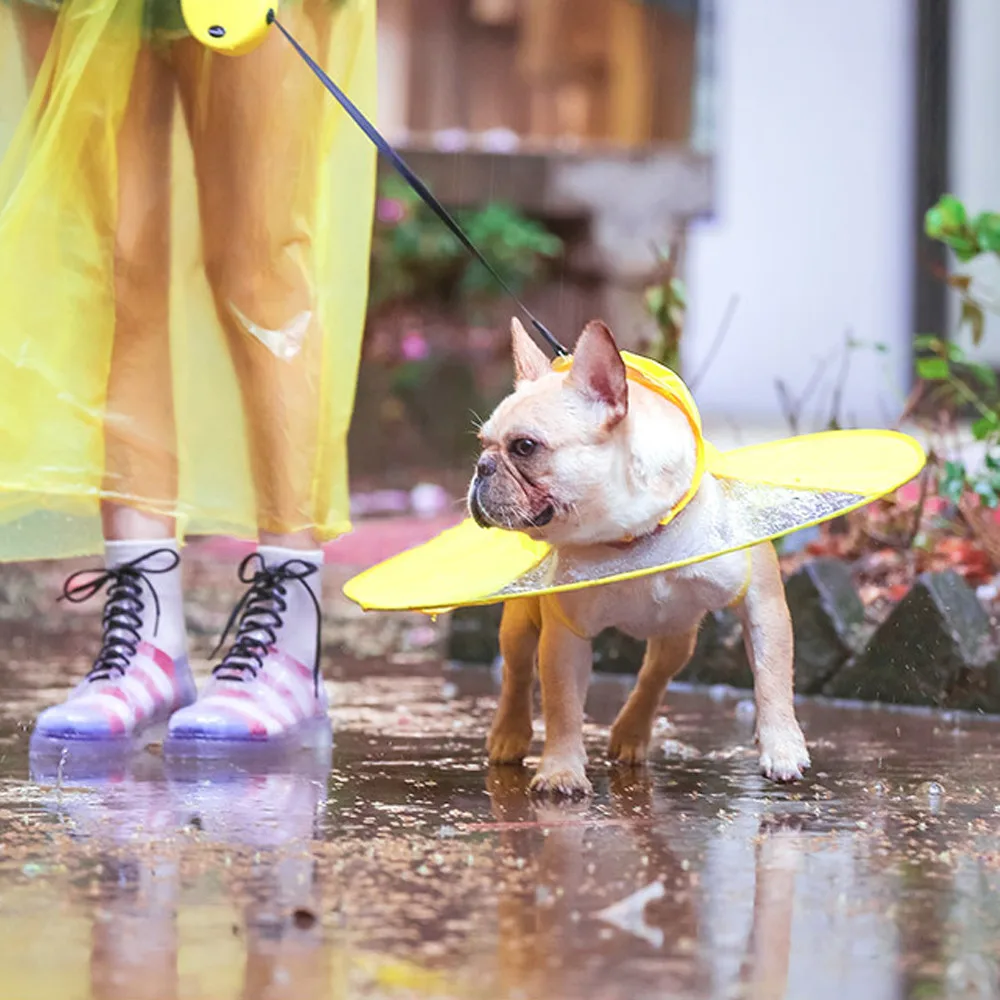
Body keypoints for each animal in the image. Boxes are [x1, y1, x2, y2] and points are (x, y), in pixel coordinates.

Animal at [470, 320, 812, 796]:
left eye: (524, 447)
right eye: (483, 443)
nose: (482, 466)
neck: (632, 534)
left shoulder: (761, 603)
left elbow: (772, 676)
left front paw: (782, 747)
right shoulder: (564, 632)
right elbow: (562, 702)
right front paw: (560, 770)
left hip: (677, 632)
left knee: (655, 674)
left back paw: (631, 734)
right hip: (522, 623)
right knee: (517, 672)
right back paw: (509, 734)